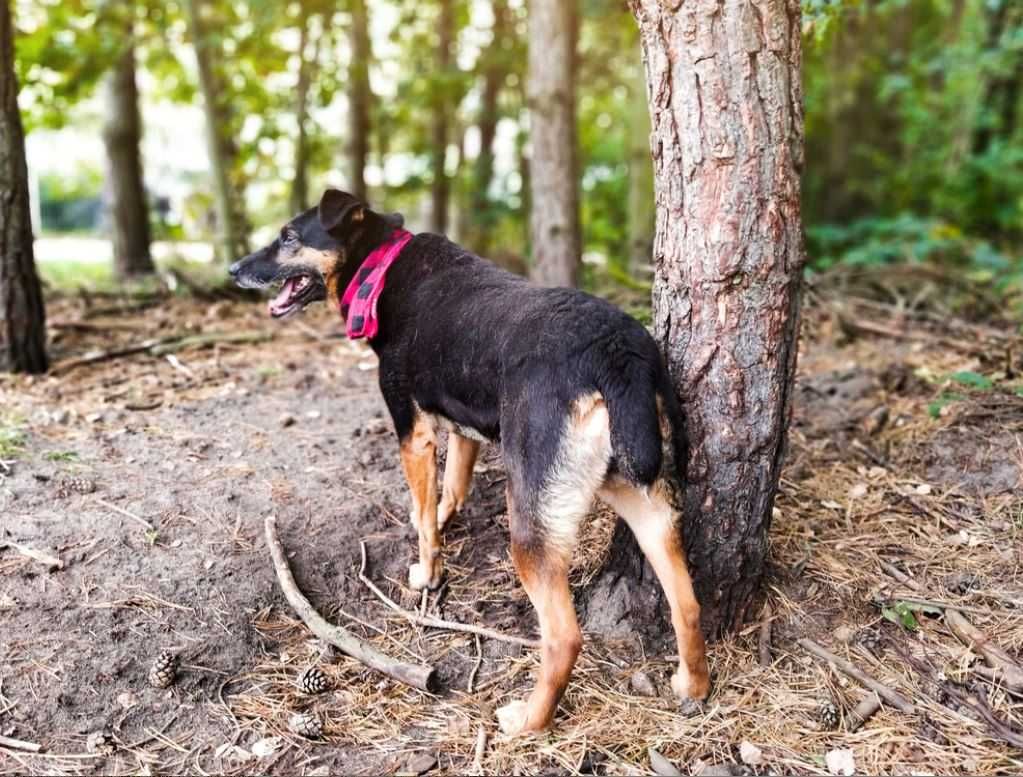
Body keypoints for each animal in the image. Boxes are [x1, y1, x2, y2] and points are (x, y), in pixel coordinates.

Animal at [230, 188, 712, 736]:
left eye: (288, 236)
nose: (233, 270)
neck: (381, 265)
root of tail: (616, 353)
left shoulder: (413, 432)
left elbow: (422, 517)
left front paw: (427, 573)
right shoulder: (463, 429)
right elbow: (450, 492)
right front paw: (442, 525)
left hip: (535, 526)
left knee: (564, 636)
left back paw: (528, 721)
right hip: (645, 501)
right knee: (687, 604)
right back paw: (692, 686)